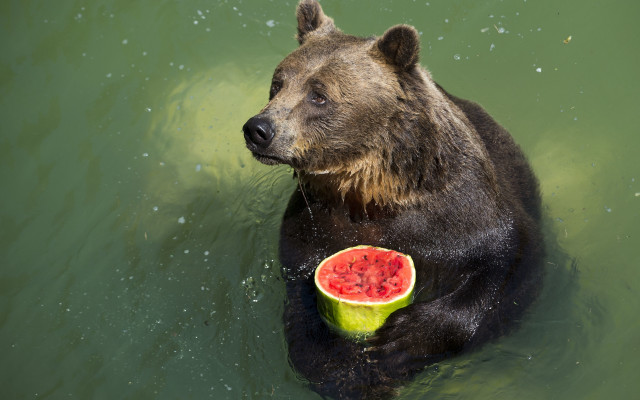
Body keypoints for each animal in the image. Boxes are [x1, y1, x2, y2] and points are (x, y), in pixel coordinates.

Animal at [242, 1, 543, 398]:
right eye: (278, 83)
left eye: (318, 94)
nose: (258, 129)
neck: (371, 191)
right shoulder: (313, 221)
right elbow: (300, 293)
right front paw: (335, 365)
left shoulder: (462, 213)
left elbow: (507, 263)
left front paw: (402, 338)